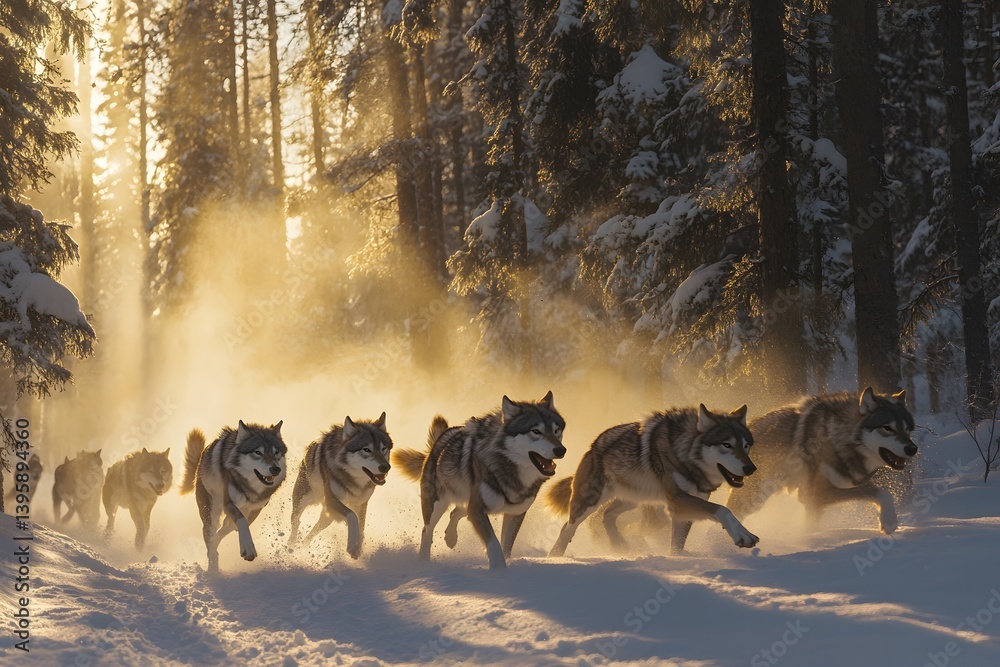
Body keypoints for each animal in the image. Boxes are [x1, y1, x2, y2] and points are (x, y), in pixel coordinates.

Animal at [180, 421, 286, 572]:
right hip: (211, 513)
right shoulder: (229, 503)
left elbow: (237, 525)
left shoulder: (255, 509)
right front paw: (248, 550)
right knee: (210, 534)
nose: (276, 469)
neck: (249, 488)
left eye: (276, 452)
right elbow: (241, 521)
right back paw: (213, 570)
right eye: (258, 452)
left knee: (220, 532)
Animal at [288, 414, 392, 558]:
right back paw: (291, 546)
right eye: (366, 449)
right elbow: (352, 517)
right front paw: (353, 547)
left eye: (384, 448)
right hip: (304, 502)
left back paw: (303, 547)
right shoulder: (332, 500)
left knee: (315, 529)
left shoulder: (361, 504)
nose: (385, 467)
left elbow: (361, 526)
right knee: (295, 521)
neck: (354, 481)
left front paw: (358, 547)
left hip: (328, 517)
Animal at [395, 392, 566, 570]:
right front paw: (499, 570)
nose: (561, 450)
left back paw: (450, 538)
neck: (509, 472)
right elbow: (494, 543)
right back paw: (424, 562)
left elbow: (506, 546)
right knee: (426, 531)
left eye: (556, 430)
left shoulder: (514, 513)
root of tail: (441, 439)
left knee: (455, 512)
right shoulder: (478, 510)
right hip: (437, 505)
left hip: (467, 502)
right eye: (536, 431)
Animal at [547, 405, 758, 557]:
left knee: (607, 515)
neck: (685, 455)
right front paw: (743, 536)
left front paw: (677, 558)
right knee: (567, 527)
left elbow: (677, 545)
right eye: (727, 445)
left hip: (632, 501)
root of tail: (592, 446)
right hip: (589, 502)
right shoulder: (677, 501)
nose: (751, 469)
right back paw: (555, 556)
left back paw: (619, 545)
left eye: (746, 445)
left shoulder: (684, 509)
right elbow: (722, 509)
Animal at [725, 387, 916, 537]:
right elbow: (880, 491)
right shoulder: (817, 493)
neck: (838, 438)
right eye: (888, 428)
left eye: (907, 430)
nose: (913, 449)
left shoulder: (813, 501)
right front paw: (889, 521)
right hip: (754, 498)